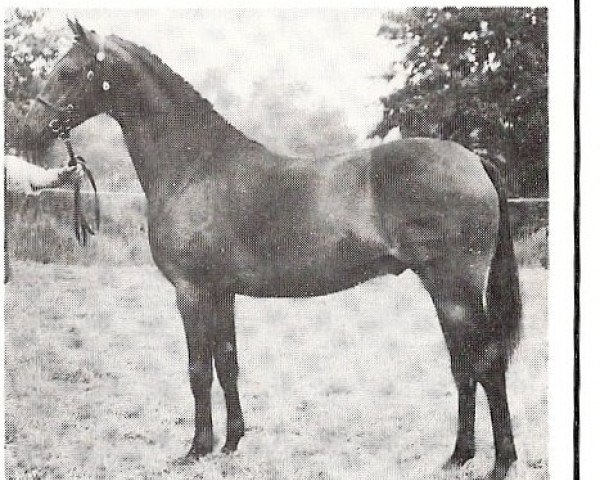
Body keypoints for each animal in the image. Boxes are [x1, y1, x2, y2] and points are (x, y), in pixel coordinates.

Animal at [24, 21, 520, 480]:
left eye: (67, 72)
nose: (30, 131)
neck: (194, 166)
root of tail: (473, 159)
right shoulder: (221, 292)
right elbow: (227, 363)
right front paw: (230, 444)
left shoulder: (191, 291)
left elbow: (198, 369)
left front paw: (196, 449)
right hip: (444, 292)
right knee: (463, 365)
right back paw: (458, 457)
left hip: (455, 291)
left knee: (486, 363)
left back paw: (501, 463)